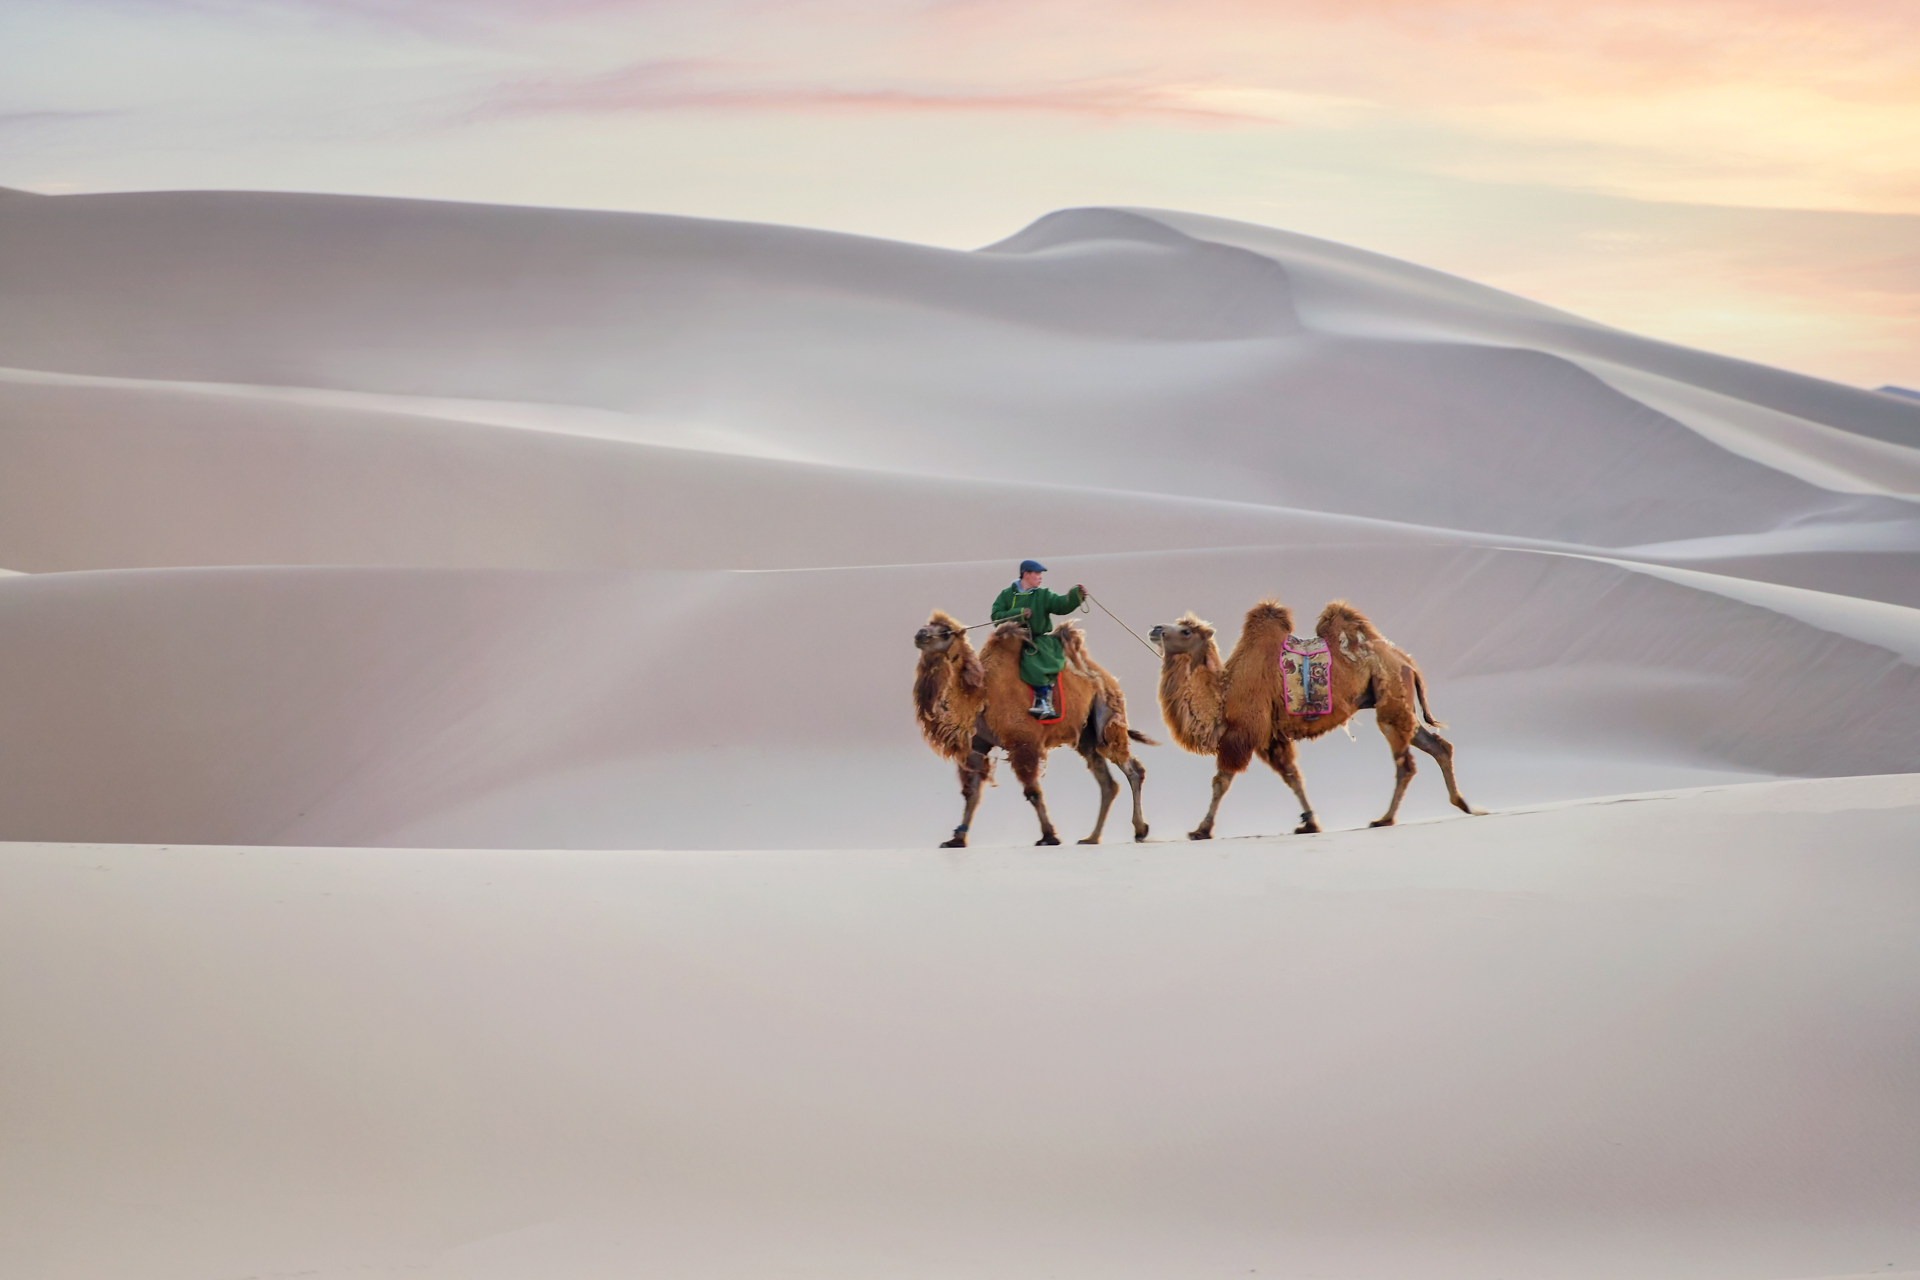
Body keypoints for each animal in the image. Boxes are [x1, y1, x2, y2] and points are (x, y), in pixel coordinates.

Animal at [913, 614, 1152, 852]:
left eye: (945, 633)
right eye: (927, 626)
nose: (919, 635)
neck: (980, 699)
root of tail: (1108, 678)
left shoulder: (1023, 742)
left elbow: (1033, 791)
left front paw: (1049, 836)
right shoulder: (976, 745)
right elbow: (971, 792)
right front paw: (956, 839)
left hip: (1107, 717)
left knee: (1132, 769)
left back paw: (1140, 830)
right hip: (1086, 737)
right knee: (1108, 783)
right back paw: (1092, 837)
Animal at [1144, 602, 1474, 840]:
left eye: (1186, 632)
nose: (1156, 628)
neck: (1224, 695)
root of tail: (1407, 661)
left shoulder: (1243, 734)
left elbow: (1220, 782)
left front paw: (1201, 830)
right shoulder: (1271, 739)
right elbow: (1293, 777)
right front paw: (1309, 824)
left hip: (1390, 695)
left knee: (1405, 762)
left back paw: (1384, 819)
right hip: (1398, 703)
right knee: (1437, 745)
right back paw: (1463, 803)